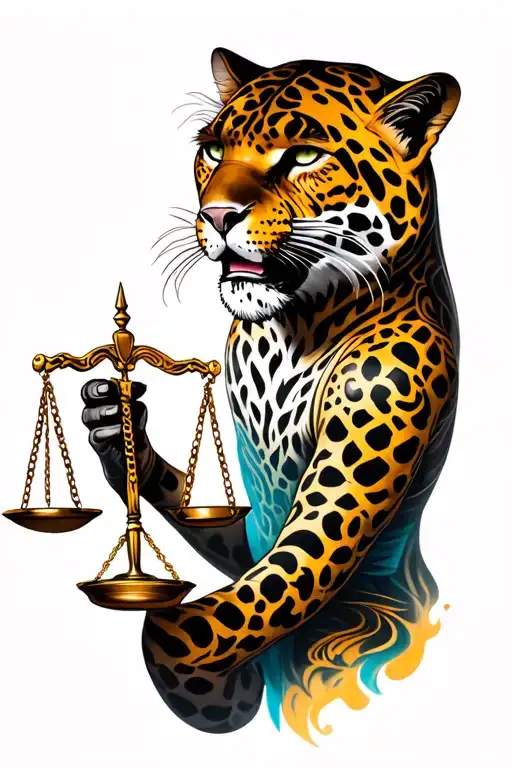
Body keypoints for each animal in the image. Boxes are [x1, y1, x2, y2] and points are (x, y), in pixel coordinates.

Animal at [82, 48, 460, 743]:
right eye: (212, 150)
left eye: (305, 155)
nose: (216, 217)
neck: (286, 331)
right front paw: (116, 423)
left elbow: (199, 623)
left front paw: (219, 697)